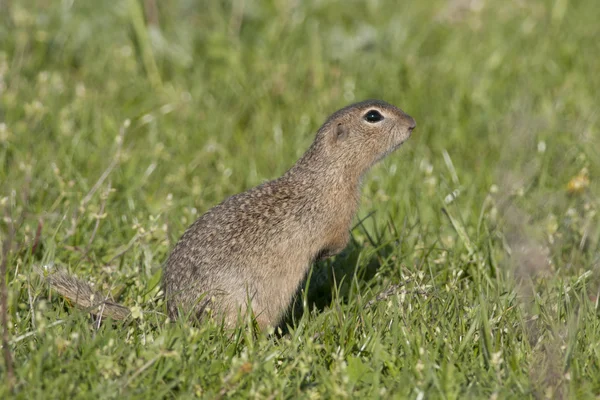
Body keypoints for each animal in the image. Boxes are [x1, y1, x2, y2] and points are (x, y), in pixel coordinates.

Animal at [47, 99, 414, 328]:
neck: (330, 172)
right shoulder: (336, 218)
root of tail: (174, 318)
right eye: (373, 116)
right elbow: (336, 242)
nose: (412, 124)